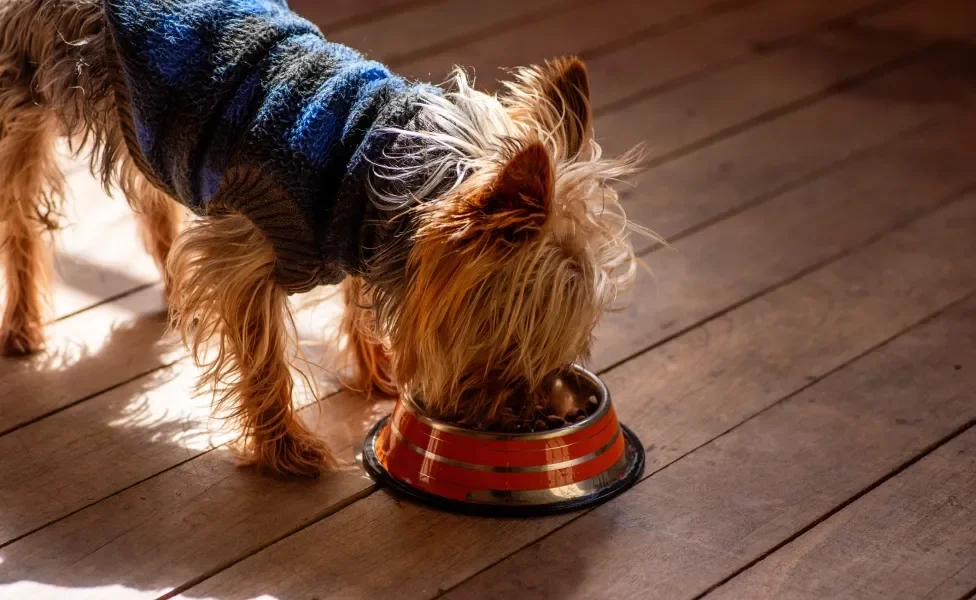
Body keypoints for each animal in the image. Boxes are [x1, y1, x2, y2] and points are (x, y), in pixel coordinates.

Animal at [1, 1, 648, 478]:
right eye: (514, 342)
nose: (527, 412)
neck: (376, 162)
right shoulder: (247, 243)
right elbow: (262, 354)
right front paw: (287, 451)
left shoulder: (359, 230)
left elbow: (359, 305)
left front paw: (380, 374)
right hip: (24, 91)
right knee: (19, 216)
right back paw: (23, 326)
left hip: (140, 125)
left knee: (152, 196)